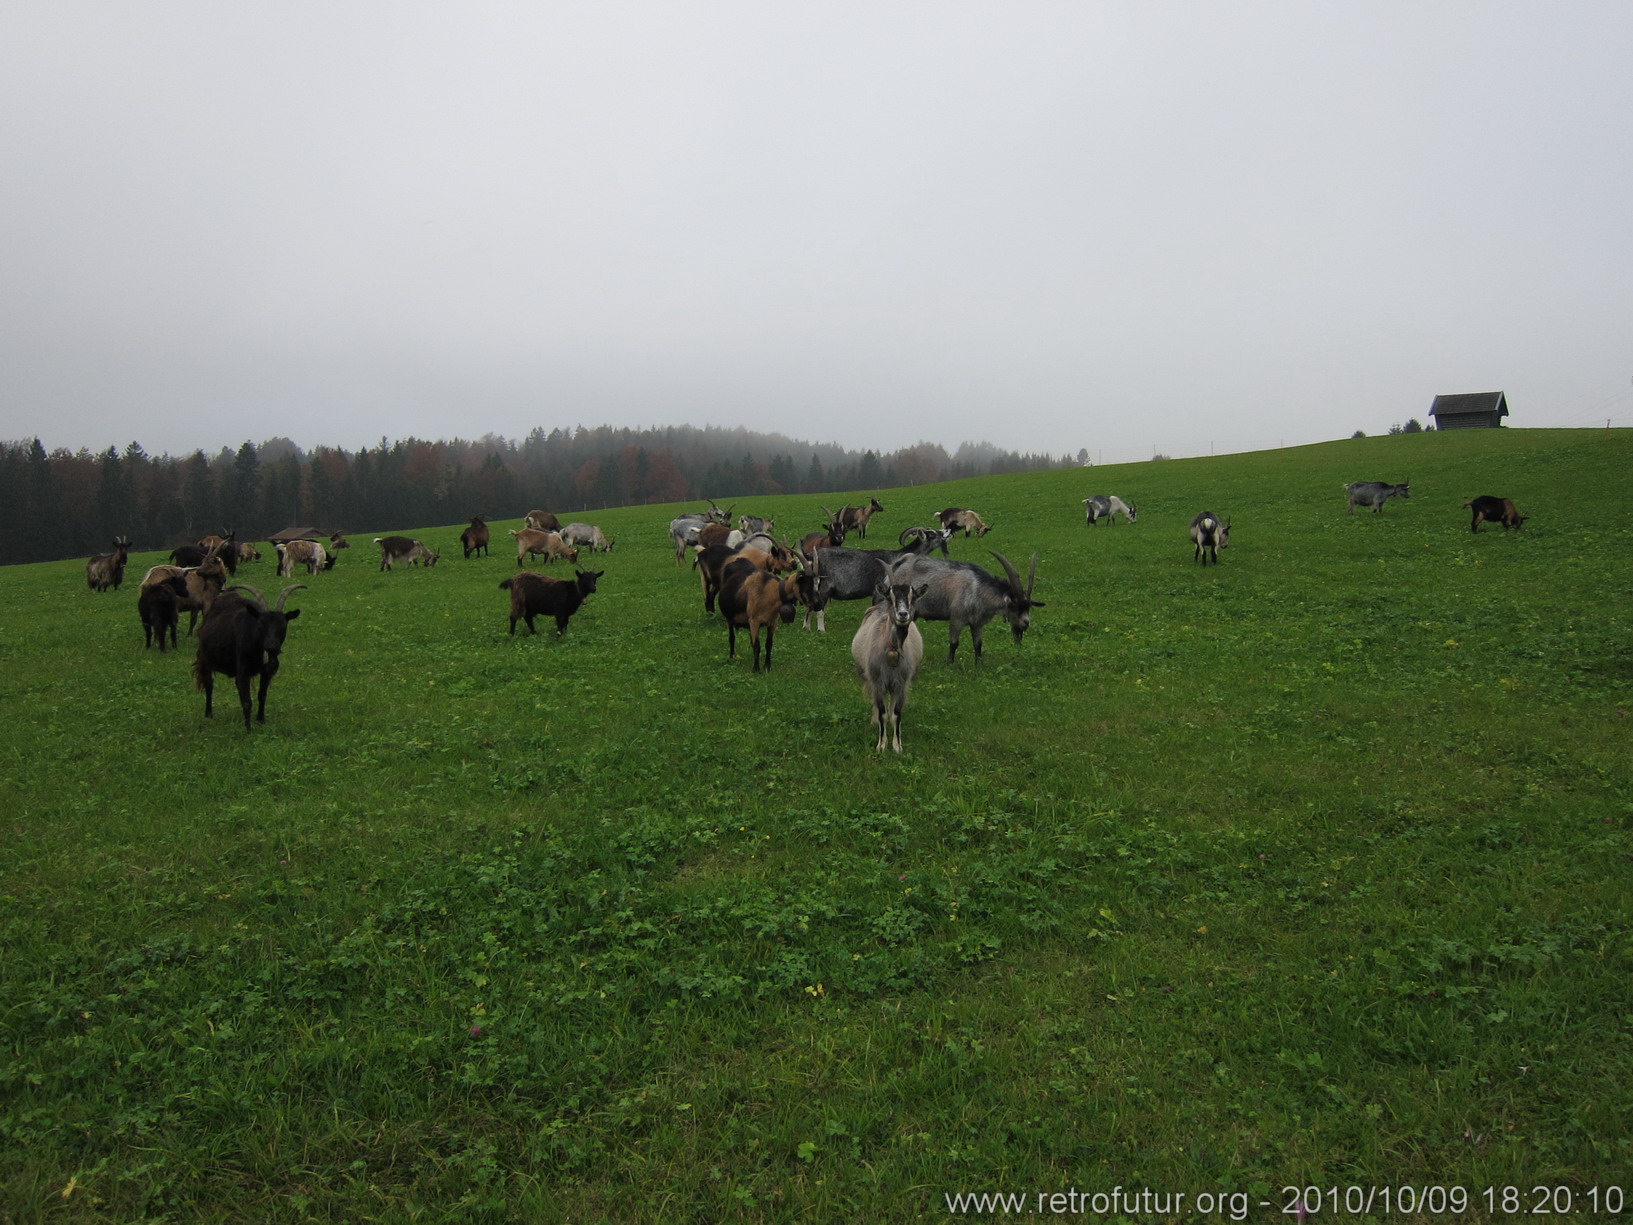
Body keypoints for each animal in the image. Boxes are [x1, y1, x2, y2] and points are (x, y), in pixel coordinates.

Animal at [849, 578, 927, 754]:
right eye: (891, 598)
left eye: (913, 598)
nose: (903, 615)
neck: (892, 650)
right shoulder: (877, 682)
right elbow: (882, 713)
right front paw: (881, 745)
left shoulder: (902, 684)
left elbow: (897, 713)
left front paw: (897, 746)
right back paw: (874, 721)